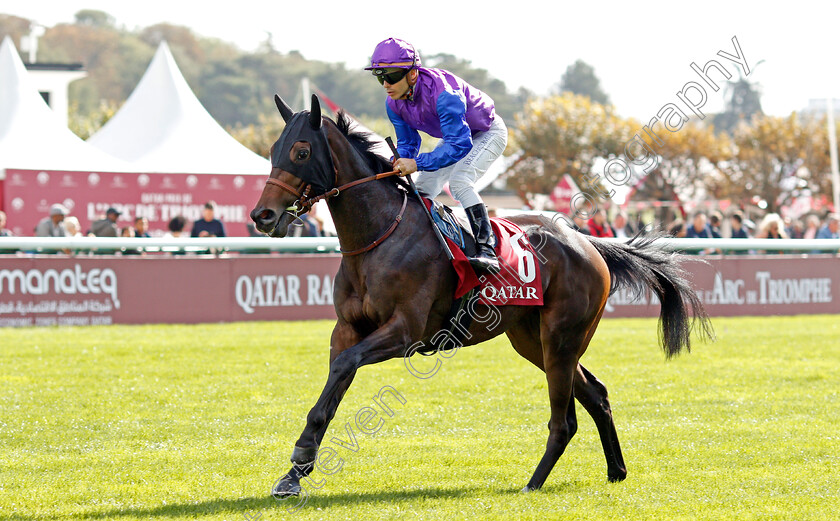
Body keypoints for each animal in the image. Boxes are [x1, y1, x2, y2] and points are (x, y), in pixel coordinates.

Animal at [249, 95, 708, 498]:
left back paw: (533, 483)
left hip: (561, 338)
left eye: (302, 151)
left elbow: (345, 366)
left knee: (563, 420)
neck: (379, 236)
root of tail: (587, 241)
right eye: (273, 149)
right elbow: (334, 381)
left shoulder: (405, 331)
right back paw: (615, 470)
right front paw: (294, 474)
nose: (261, 216)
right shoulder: (347, 329)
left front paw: (301, 455)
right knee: (595, 394)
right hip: (533, 341)